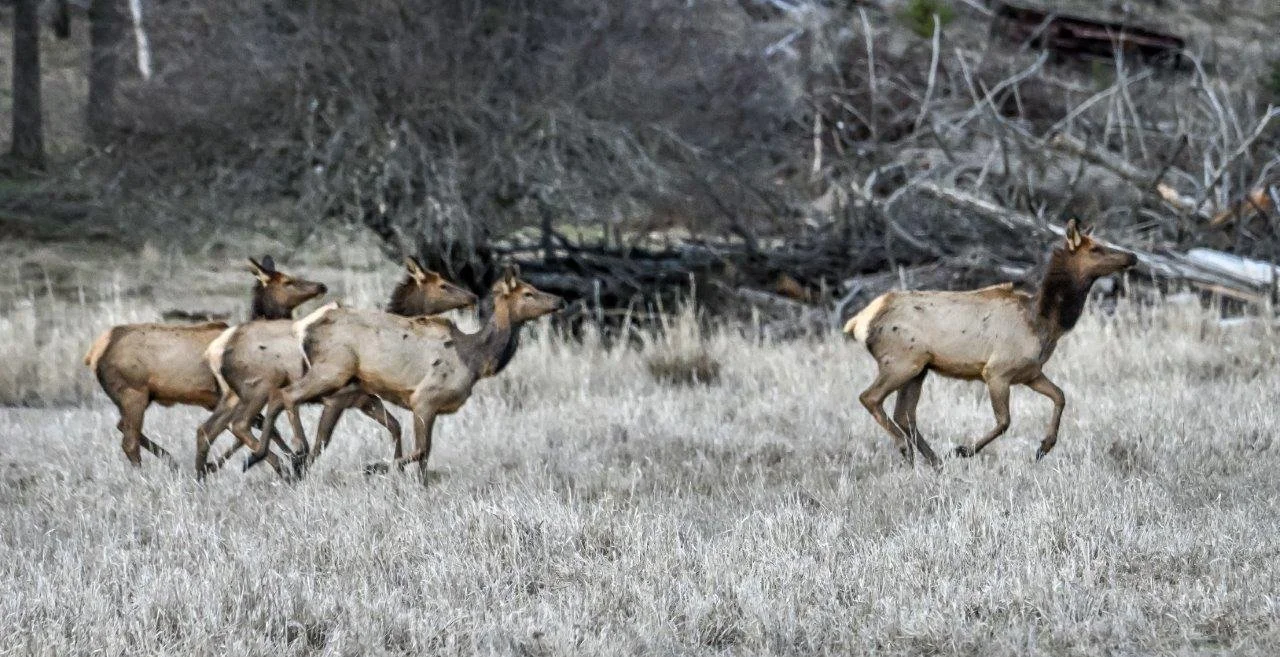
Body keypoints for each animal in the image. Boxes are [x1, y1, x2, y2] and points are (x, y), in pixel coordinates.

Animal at [84, 256, 327, 467]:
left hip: (136, 396)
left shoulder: (215, 399)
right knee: (129, 441)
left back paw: (172, 462)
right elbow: (254, 429)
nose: (321, 286)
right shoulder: (223, 395)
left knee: (122, 426)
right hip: (132, 392)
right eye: (287, 281)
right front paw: (292, 459)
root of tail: (93, 354)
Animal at [195, 258, 478, 478]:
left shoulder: (365, 399)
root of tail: (216, 351)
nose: (472, 296)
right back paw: (276, 463)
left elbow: (395, 427)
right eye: (442, 284)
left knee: (208, 430)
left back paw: (207, 472)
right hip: (258, 389)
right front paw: (300, 469)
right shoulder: (339, 398)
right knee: (241, 424)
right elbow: (322, 442)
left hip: (232, 396)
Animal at [241, 265, 565, 480]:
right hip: (333, 371)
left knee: (277, 398)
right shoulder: (425, 399)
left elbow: (424, 456)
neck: (475, 361)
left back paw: (263, 456)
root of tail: (304, 328)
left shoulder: (425, 407)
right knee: (286, 396)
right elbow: (420, 451)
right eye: (528, 292)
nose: (560, 300)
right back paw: (293, 450)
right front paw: (375, 467)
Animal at [843, 220, 1137, 467]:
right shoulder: (996, 371)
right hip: (902, 361)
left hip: (919, 368)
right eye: (1096, 248)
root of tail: (858, 322)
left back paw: (934, 461)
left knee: (905, 414)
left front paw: (1044, 446)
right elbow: (1005, 421)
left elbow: (1060, 396)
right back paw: (907, 449)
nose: (1131, 256)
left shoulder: (1030, 373)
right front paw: (963, 449)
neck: (1044, 322)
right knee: (870, 397)